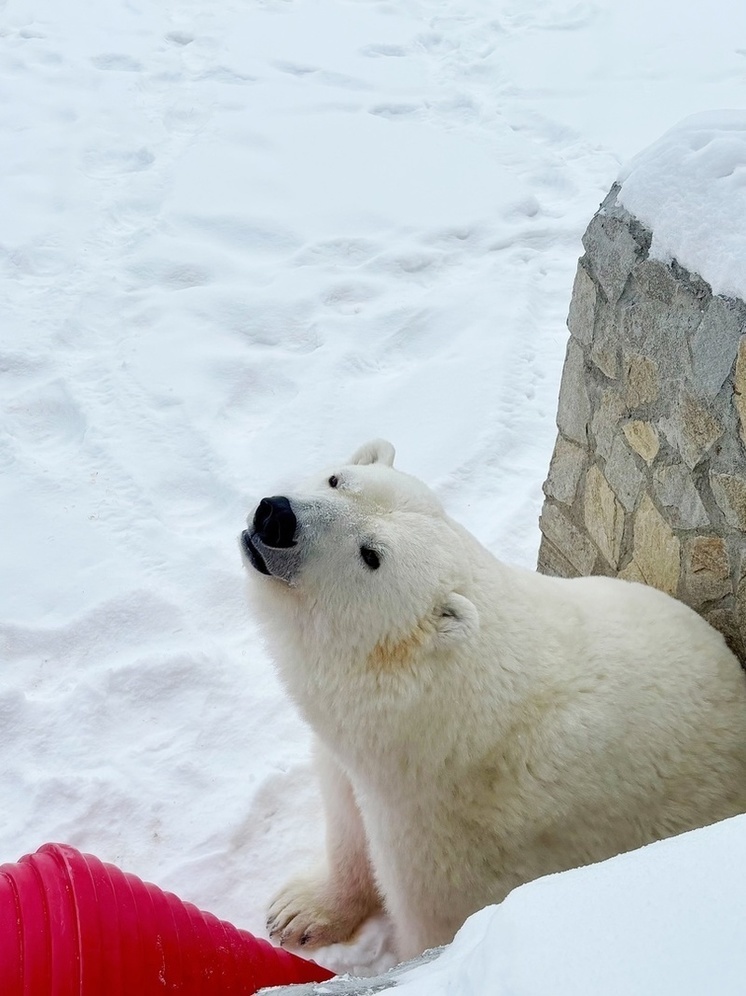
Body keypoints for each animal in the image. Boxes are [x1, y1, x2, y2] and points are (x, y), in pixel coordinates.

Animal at [240, 440, 744, 960]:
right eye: (337, 480)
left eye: (371, 555)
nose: (276, 517)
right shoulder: (363, 769)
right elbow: (345, 819)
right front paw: (297, 912)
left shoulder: (446, 835)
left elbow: (432, 925)